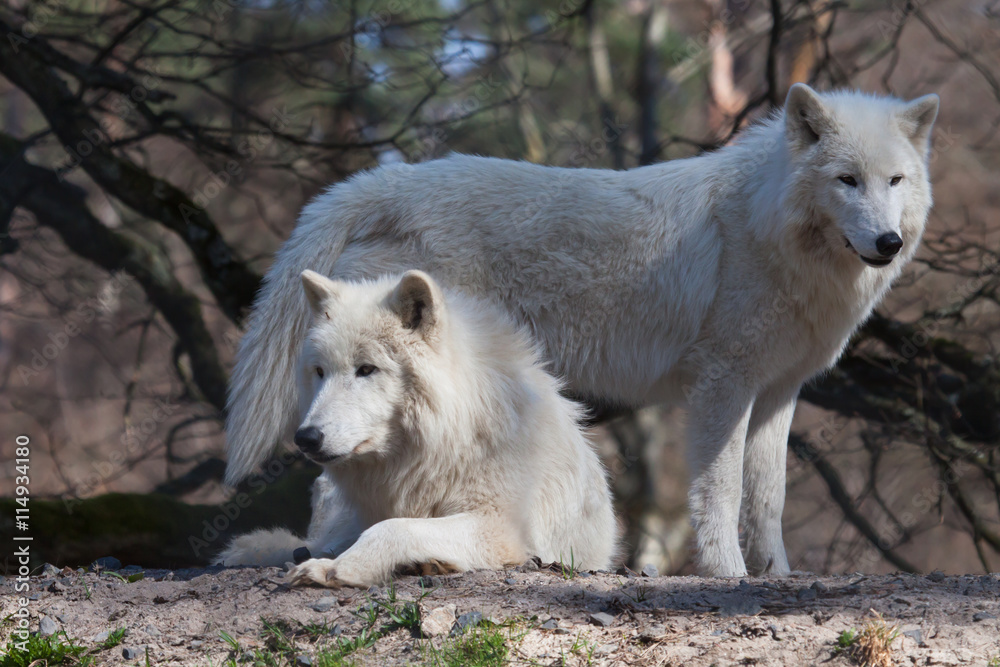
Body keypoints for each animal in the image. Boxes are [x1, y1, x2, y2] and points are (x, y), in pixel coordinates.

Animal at [217, 270, 618, 586]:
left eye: (366, 369)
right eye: (320, 372)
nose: (306, 438)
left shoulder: (500, 528)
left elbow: (395, 526)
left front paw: (342, 568)